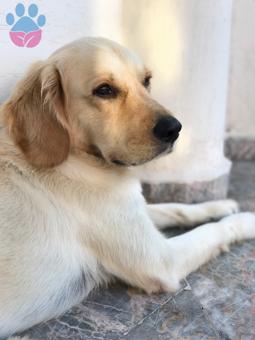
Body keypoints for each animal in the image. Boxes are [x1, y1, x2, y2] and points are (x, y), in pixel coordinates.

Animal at [0, 37, 255, 338]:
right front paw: (247, 221)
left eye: (146, 81)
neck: (77, 157)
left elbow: (178, 208)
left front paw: (220, 204)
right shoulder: (161, 260)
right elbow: (215, 230)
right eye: (104, 90)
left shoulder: (134, 210)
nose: (175, 128)